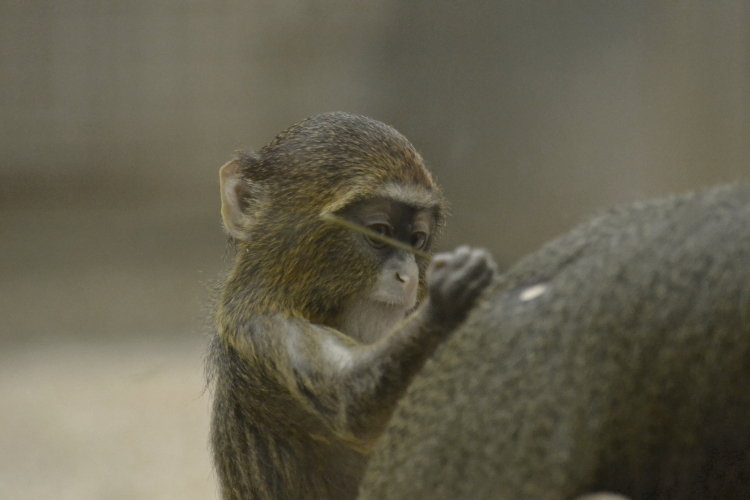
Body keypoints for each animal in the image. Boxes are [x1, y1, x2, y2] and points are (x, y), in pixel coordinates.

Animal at [206, 112, 497, 500]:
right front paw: (445, 302)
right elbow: (352, 404)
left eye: (416, 239)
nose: (408, 276)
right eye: (380, 231)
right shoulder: (258, 328)